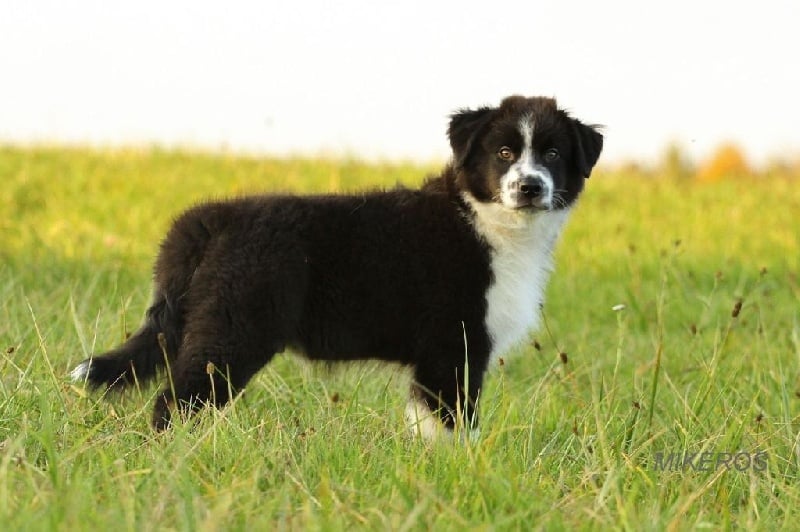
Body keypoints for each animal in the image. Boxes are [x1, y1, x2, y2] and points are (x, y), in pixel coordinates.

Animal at [71, 95, 602, 437]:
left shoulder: (441, 356)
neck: (486, 219)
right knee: (174, 402)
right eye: (505, 153)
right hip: (233, 329)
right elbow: (451, 427)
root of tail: (209, 219)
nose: (530, 187)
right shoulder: (454, 347)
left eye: (553, 153)